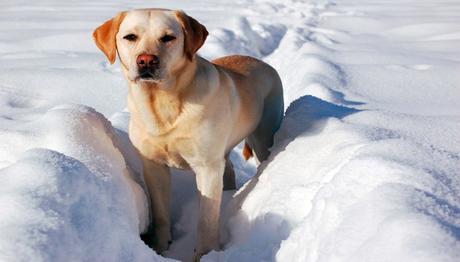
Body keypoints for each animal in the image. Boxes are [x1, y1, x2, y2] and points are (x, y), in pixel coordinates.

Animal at [92, 7, 284, 258]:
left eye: (168, 38)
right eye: (130, 37)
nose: (146, 61)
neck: (163, 102)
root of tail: (263, 63)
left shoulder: (207, 167)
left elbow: (206, 220)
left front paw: (205, 255)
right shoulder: (154, 165)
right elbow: (161, 213)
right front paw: (160, 248)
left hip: (263, 136)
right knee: (228, 168)